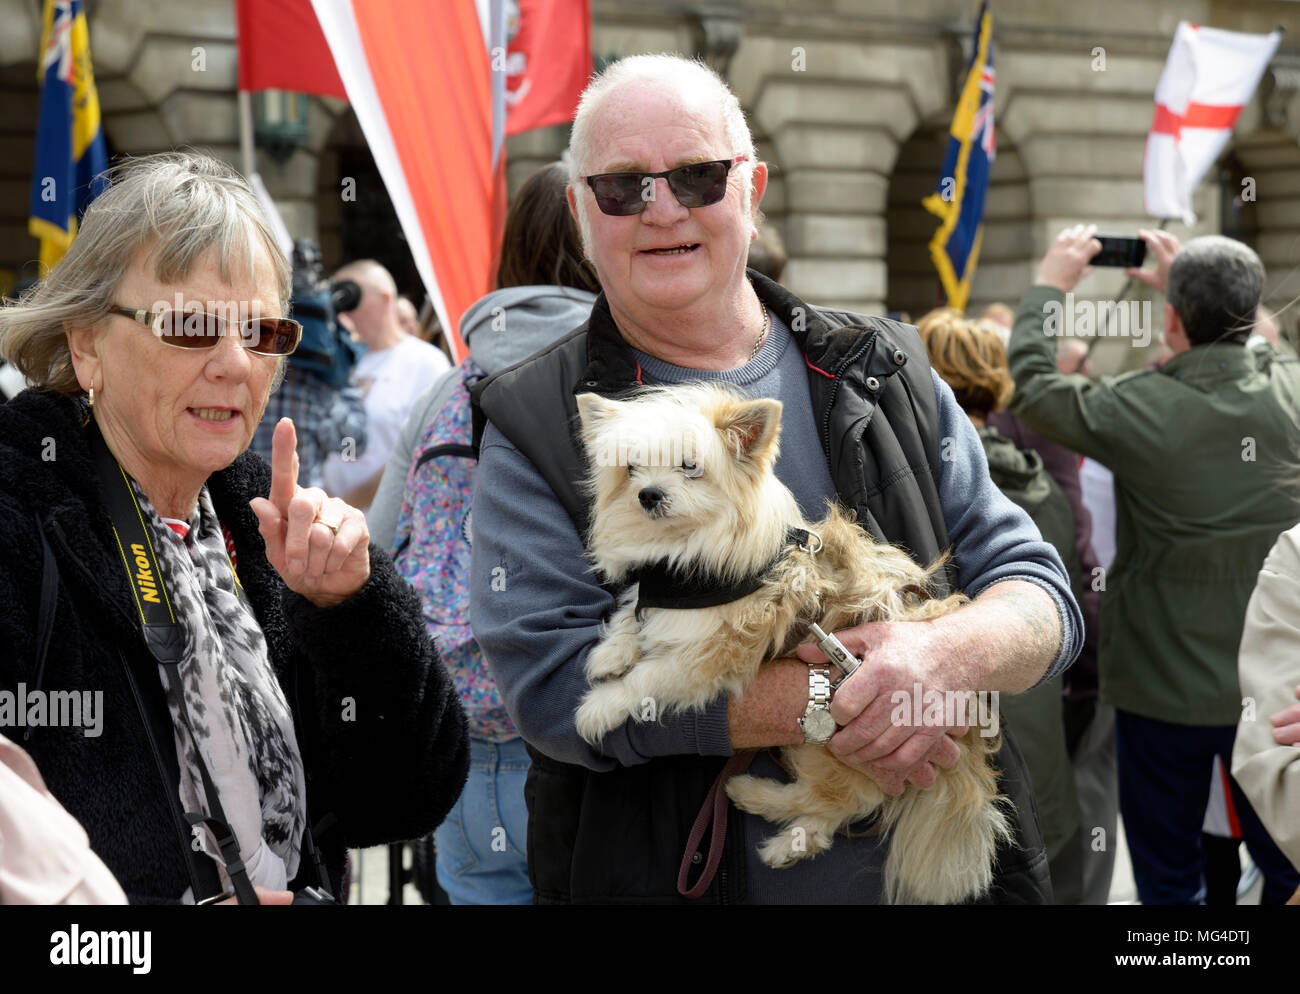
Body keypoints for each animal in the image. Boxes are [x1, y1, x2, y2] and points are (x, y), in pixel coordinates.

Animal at [574, 384, 1008, 904]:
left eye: (691, 466)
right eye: (632, 468)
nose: (648, 494)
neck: (686, 563)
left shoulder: (710, 656)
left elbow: (647, 678)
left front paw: (598, 706)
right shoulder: (660, 597)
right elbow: (632, 614)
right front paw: (612, 651)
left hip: (828, 746)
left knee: (838, 799)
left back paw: (764, 810)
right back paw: (772, 819)